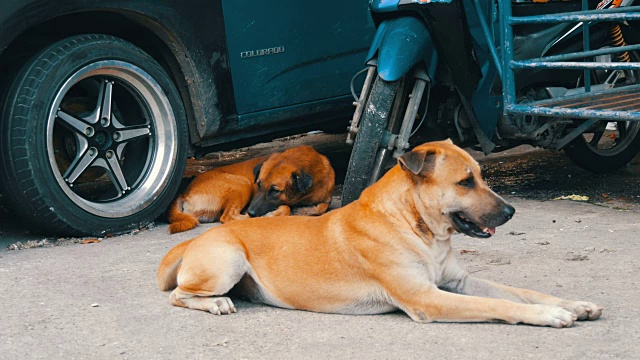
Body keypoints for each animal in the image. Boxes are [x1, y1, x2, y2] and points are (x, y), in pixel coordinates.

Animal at [168, 146, 336, 233]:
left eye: (274, 190)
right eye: (259, 184)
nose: (251, 211)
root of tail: (184, 192)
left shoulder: (325, 196)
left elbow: (322, 206)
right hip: (243, 184)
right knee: (228, 217)